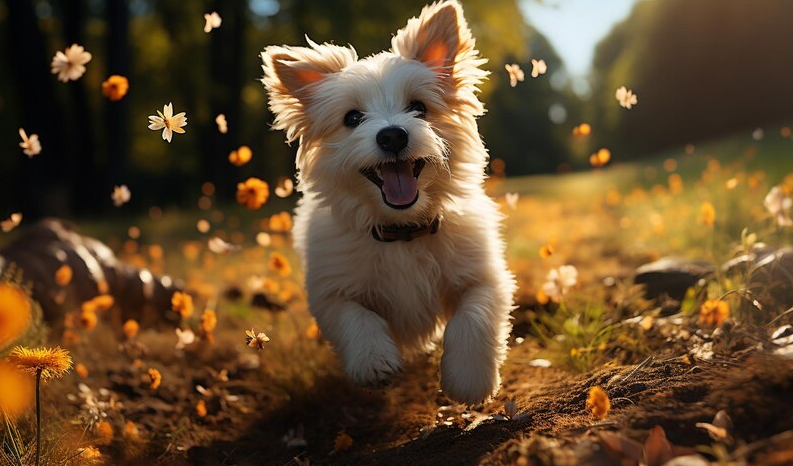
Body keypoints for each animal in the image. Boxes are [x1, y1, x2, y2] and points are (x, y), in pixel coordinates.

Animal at [262, 0, 516, 402]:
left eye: (419, 108)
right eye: (352, 117)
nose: (393, 135)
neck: (403, 232)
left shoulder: (486, 276)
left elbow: (473, 316)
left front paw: (469, 378)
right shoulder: (330, 291)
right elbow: (356, 317)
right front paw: (374, 360)